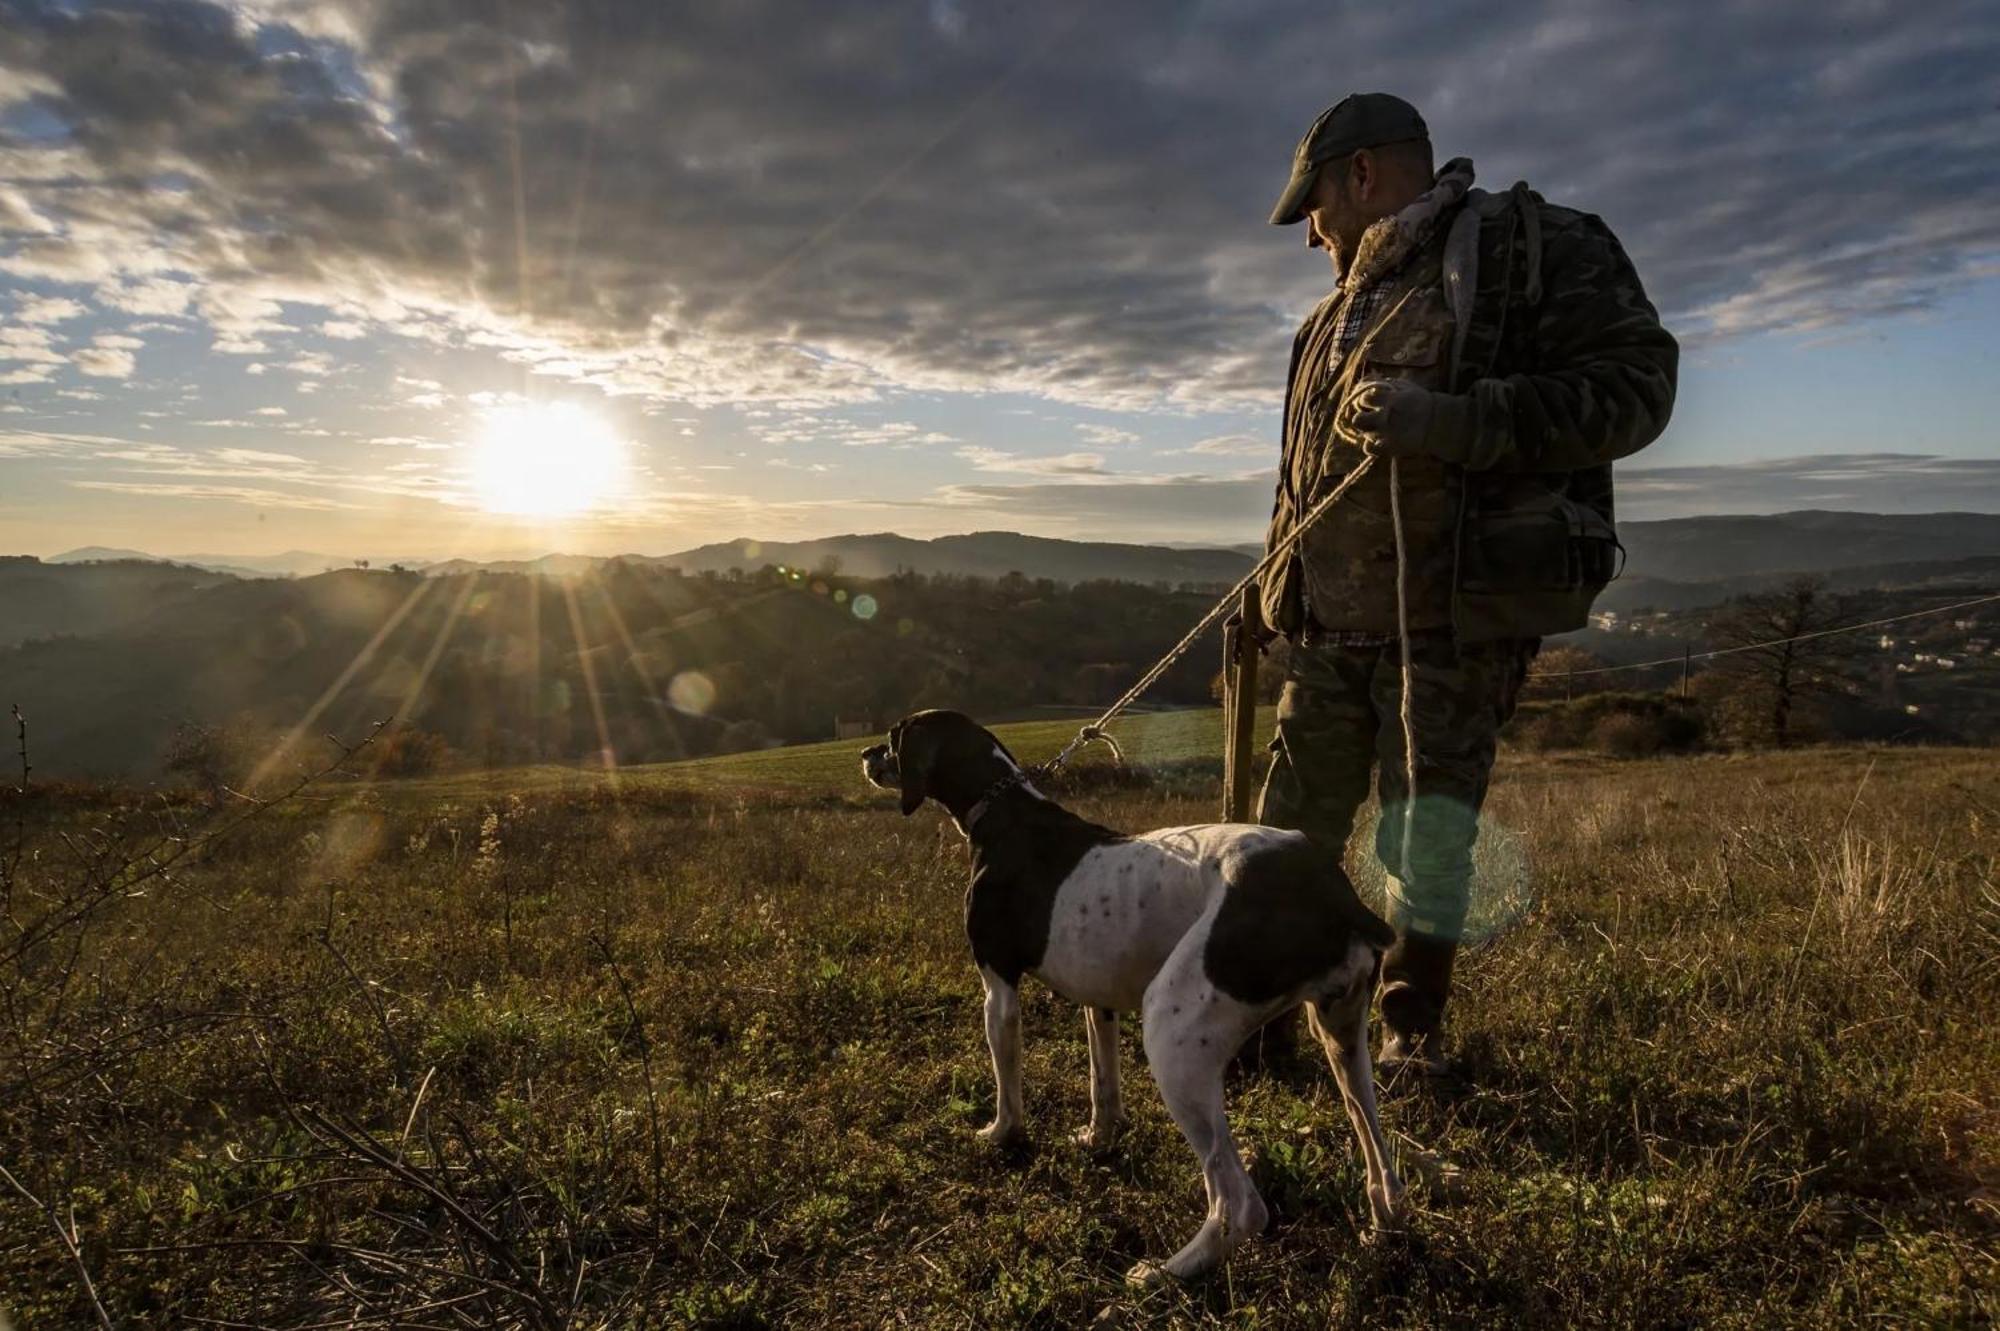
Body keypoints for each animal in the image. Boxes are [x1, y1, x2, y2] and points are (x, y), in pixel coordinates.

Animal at [860, 711, 1408, 1279]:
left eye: (895, 737)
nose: (865, 754)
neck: (1003, 813)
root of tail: (1332, 892)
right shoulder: (1097, 999)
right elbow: (1103, 1085)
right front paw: (1099, 1138)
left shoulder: (999, 990)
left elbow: (1006, 1082)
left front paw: (1000, 1135)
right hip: (1341, 1037)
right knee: (1377, 1153)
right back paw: (1383, 1225)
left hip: (1174, 1039)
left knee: (1240, 1203)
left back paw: (1171, 1270)